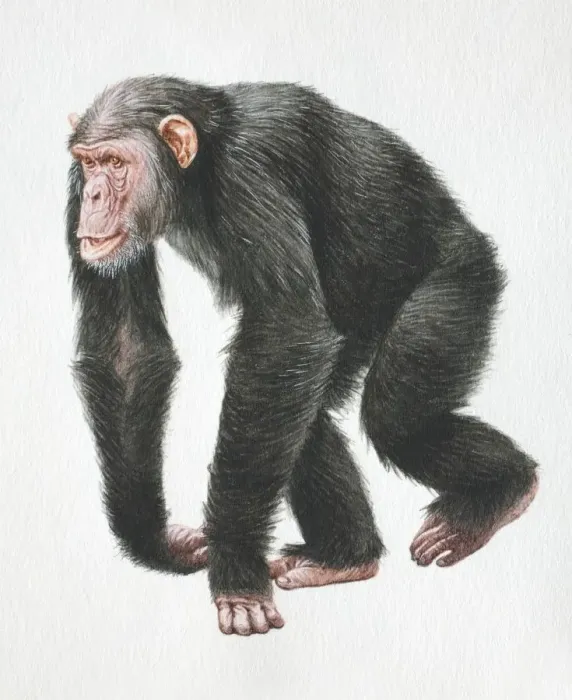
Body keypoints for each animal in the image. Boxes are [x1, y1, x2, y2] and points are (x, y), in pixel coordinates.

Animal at [66, 76, 538, 636]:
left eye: (116, 163)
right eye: (88, 164)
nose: (95, 193)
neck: (195, 171)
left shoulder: (250, 177)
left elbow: (287, 327)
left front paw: (236, 571)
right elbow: (128, 349)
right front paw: (160, 544)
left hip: (459, 286)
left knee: (396, 421)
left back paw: (499, 496)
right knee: (300, 410)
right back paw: (345, 557)